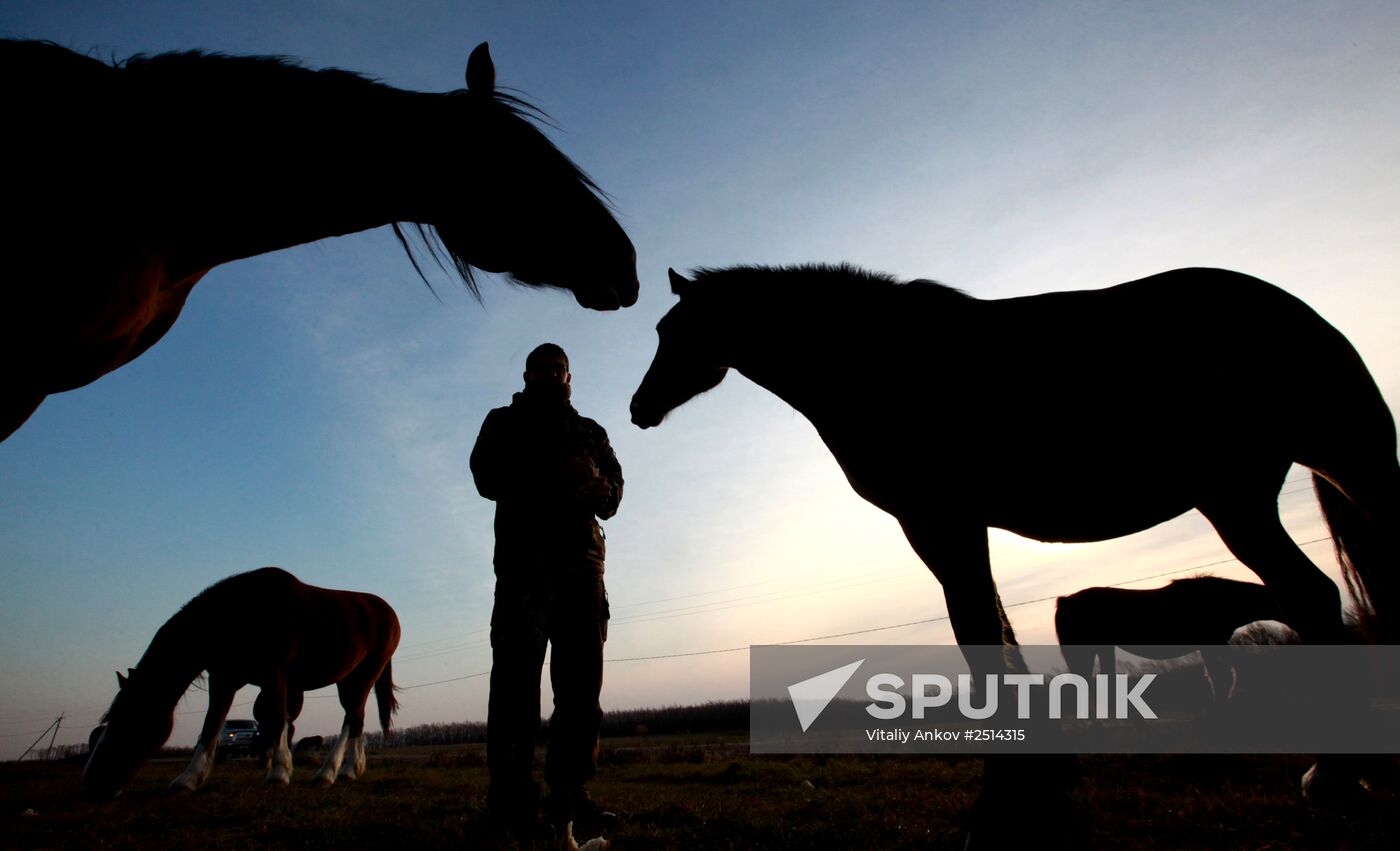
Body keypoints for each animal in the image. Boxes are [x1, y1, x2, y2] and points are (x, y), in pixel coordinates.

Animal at [83, 568, 400, 800]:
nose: (91, 784)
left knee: (351, 717)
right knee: (357, 719)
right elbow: (212, 725)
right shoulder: (223, 679)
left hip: (364, 675)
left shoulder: (274, 675)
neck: (238, 613)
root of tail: (389, 613)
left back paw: (328, 774)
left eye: (130, 718)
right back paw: (350, 770)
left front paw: (279, 774)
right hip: (349, 678)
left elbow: (277, 718)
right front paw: (188, 779)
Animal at [1052, 579, 1288, 705]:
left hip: (1101, 649)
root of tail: (1065, 600)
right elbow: (1229, 673)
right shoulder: (1213, 642)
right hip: (1086, 650)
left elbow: (1219, 675)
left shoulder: (1210, 645)